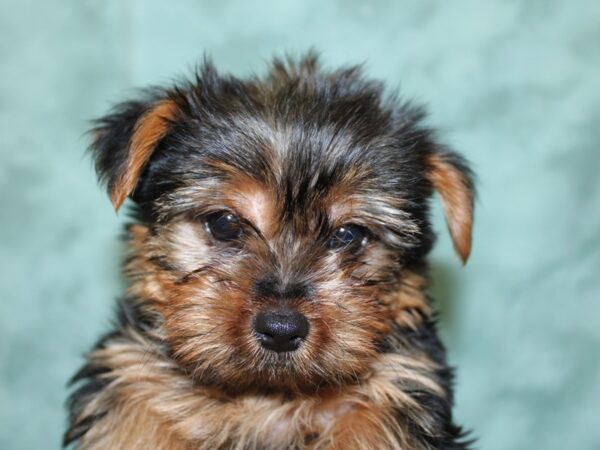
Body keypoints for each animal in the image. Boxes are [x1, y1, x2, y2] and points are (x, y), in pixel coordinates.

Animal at [65, 54, 476, 448]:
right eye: (224, 223)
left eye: (349, 234)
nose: (281, 329)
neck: (267, 394)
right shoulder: (134, 375)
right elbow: (135, 421)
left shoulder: (399, 382)